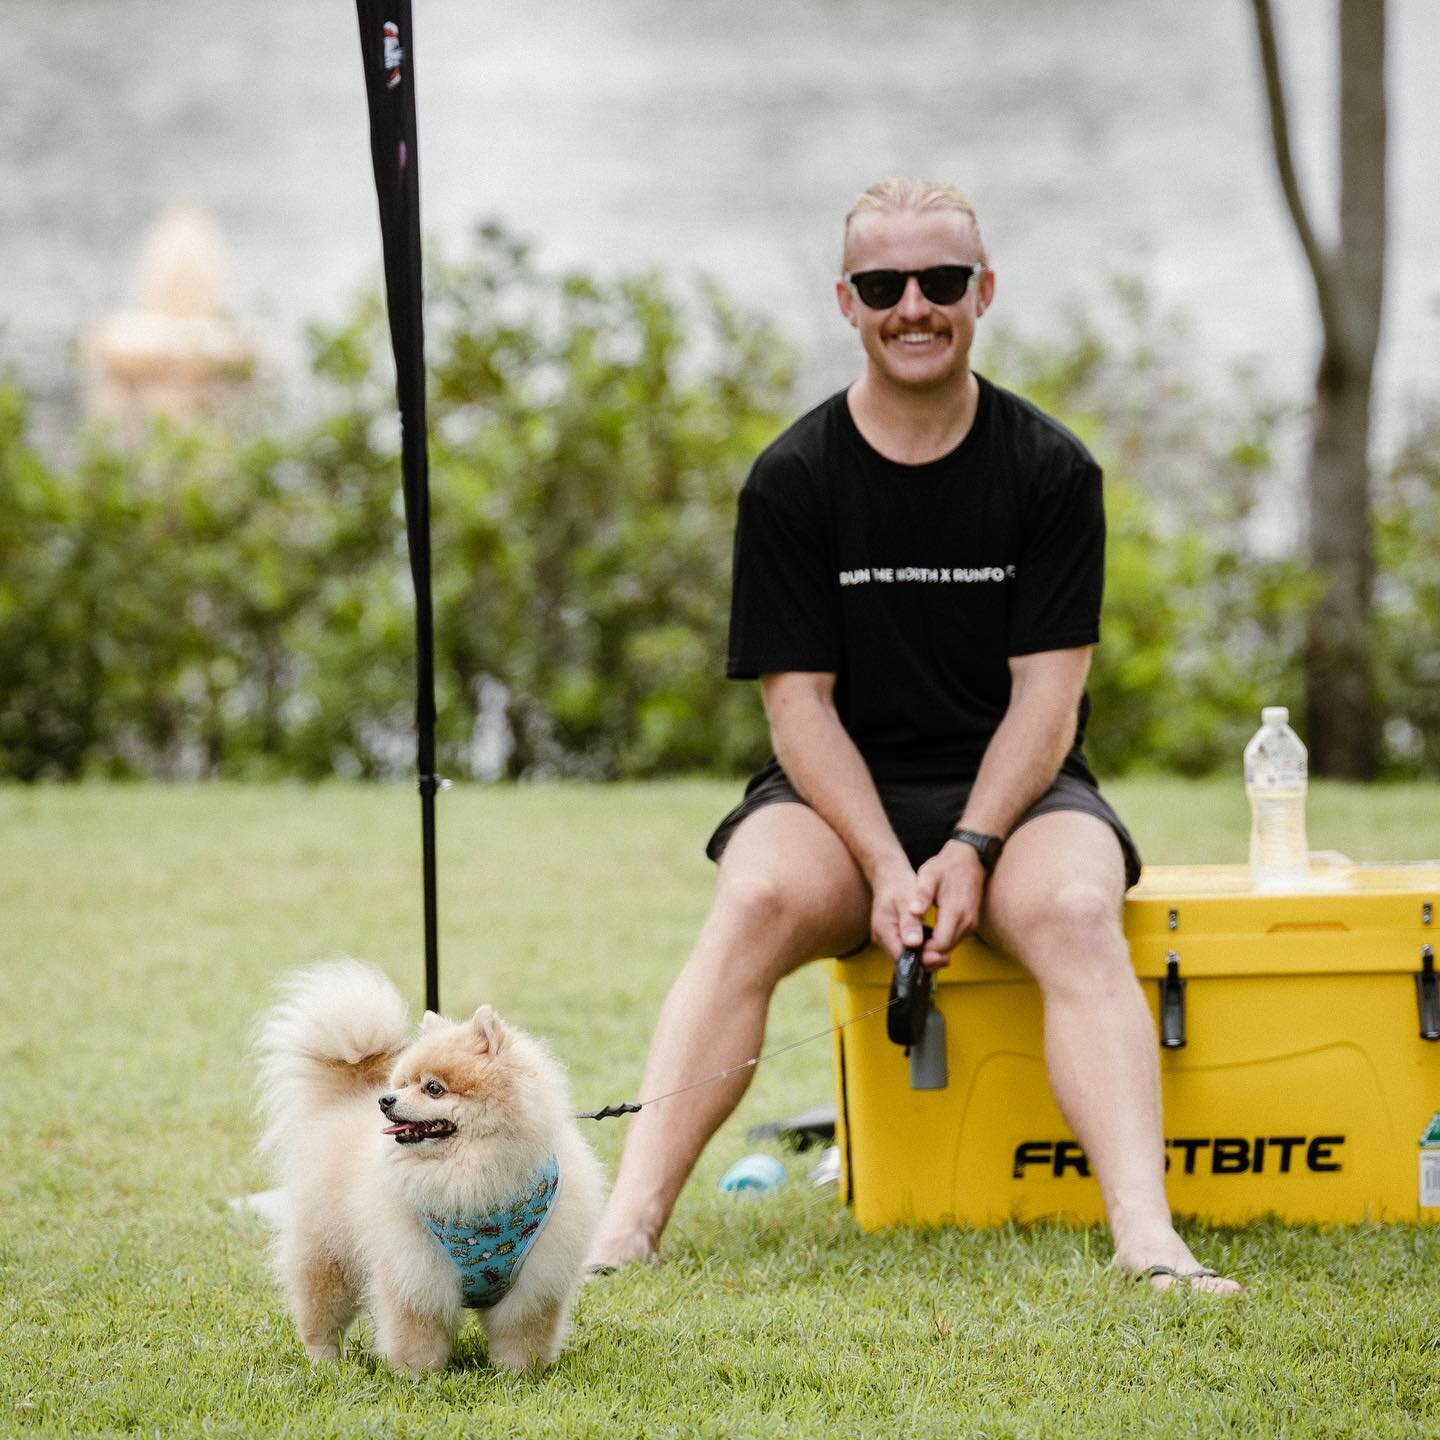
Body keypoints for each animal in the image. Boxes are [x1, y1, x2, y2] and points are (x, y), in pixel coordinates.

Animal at [253, 956, 601, 1370]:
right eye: (402, 1083)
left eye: (433, 1087)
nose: (385, 1100)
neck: (469, 1170)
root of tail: (348, 1095)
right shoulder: (417, 1273)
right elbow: (418, 1332)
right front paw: (418, 1377)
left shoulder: (533, 1284)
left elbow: (521, 1336)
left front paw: (517, 1375)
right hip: (328, 1257)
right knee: (320, 1320)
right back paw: (327, 1365)